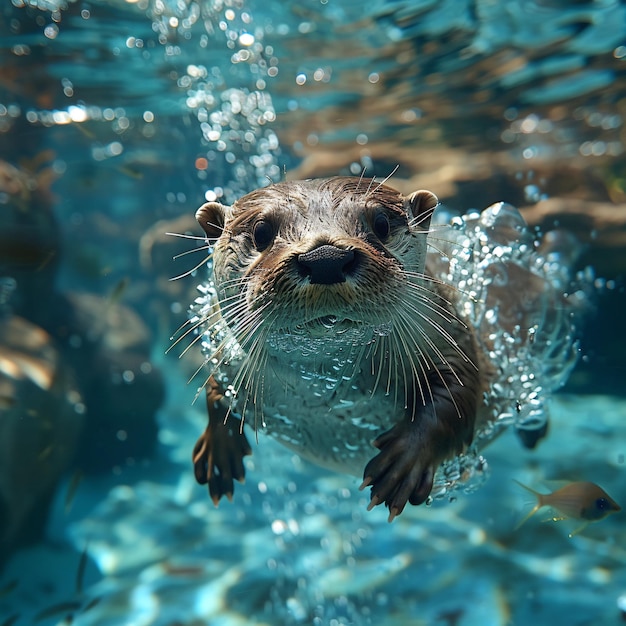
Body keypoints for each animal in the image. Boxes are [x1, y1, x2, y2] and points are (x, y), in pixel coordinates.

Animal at [185, 174, 488, 516]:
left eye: (381, 224)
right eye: (261, 231)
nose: (325, 259)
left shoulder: (447, 335)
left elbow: (458, 392)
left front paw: (406, 460)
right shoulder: (227, 354)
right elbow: (214, 388)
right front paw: (219, 452)